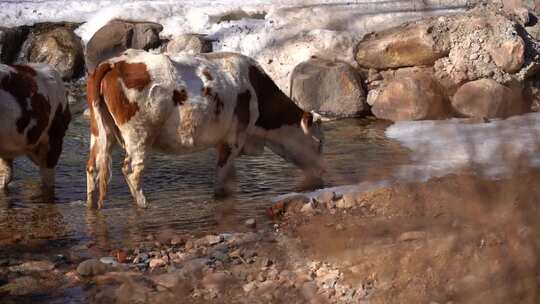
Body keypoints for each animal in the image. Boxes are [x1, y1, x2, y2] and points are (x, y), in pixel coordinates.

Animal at [86, 50, 322, 209]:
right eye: (318, 144)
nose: (320, 176)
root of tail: (114, 62)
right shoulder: (234, 138)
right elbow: (221, 174)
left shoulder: (224, 141)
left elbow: (229, 176)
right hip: (139, 135)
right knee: (131, 170)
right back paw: (144, 204)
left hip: (100, 132)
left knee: (92, 167)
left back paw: (91, 207)